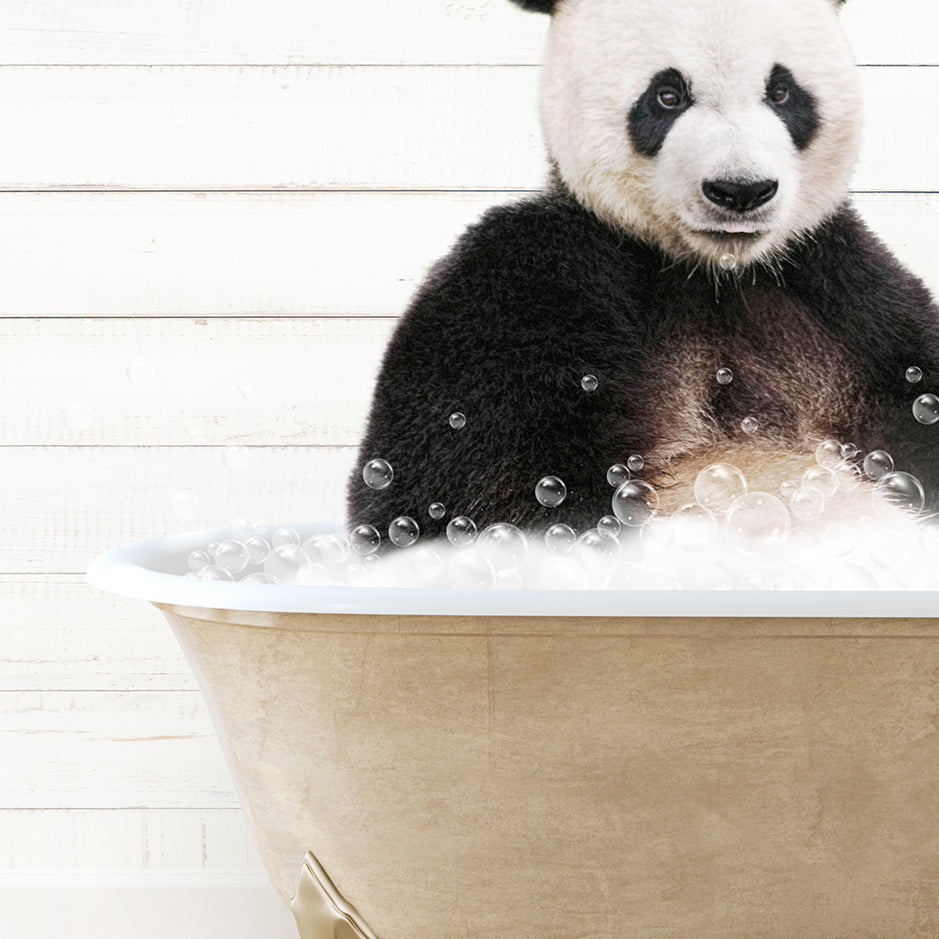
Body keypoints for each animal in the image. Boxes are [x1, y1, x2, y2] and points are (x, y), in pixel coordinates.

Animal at [346, 0, 939, 544]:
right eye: (668, 95)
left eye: (782, 92)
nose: (740, 190)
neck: (712, 276)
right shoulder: (533, 287)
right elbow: (463, 489)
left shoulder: (844, 293)